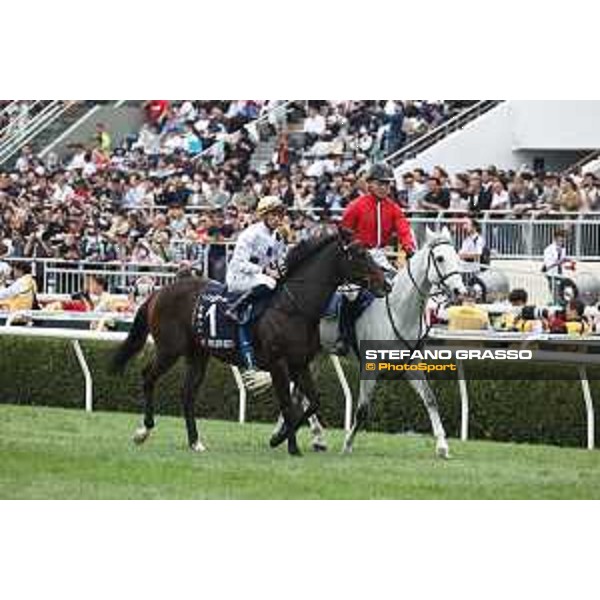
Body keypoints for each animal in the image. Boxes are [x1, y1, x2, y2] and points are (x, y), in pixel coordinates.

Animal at [109, 230, 386, 454]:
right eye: (360, 255)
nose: (386, 284)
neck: (294, 307)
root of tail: (158, 292)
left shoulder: (300, 363)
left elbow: (312, 401)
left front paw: (280, 439)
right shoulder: (278, 364)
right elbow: (288, 405)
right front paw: (292, 447)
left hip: (198, 354)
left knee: (187, 394)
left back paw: (195, 442)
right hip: (170, 349)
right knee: (148, 376)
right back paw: (143, 431)